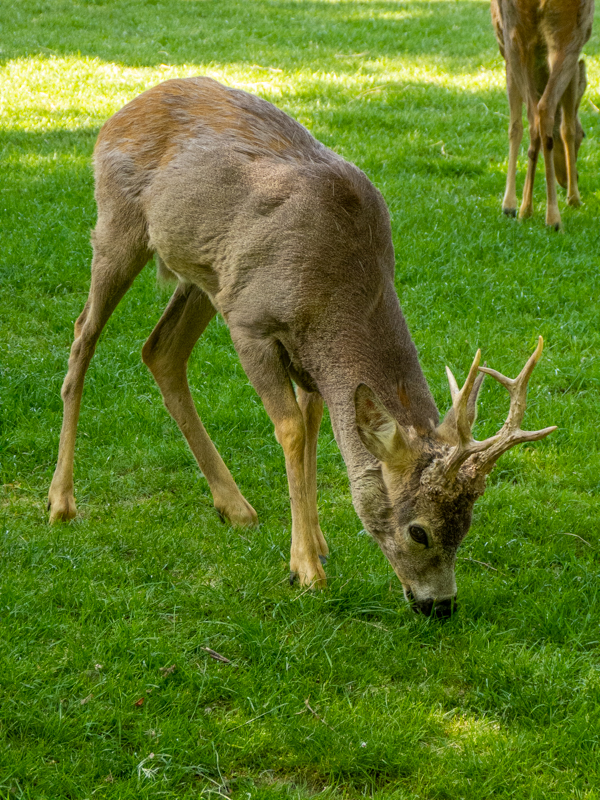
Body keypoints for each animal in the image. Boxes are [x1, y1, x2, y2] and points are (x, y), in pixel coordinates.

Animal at [47, 77, 556, 617]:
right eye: (418, 531)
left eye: (466, 526)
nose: (439, 605)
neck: (334, 292)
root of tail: (120, 114)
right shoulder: (252, 324)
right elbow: (290, 428)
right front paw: (306, 571)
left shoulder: (306, 355)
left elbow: (313, 427)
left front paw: (316, 543)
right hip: (120, 225)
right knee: (83, 335)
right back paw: (61, 502)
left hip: (208, 275)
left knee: (159, 351)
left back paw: (235, 507)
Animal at [490, 0, 594, 230]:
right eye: (584, 135)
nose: (571, 178)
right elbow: (567, 128)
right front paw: (574, 197)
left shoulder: (505, 52)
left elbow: (515, 125)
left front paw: (510, 205)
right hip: (568, 33)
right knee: (542, 110)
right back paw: (544, 214)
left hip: (518, 35)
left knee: (537, 111)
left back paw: (537, 213)